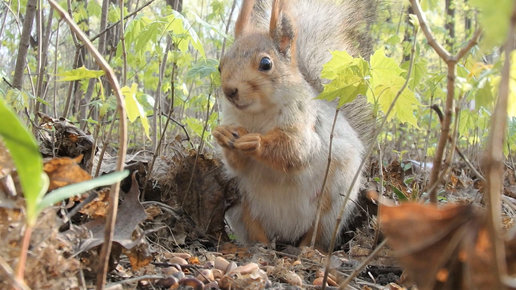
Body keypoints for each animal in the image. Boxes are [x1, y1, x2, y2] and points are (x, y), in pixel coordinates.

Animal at [212, 0, 376, 250]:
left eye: (266, 63)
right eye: (221, 66)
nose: (230, 91)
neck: (258, 113)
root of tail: (286, 232)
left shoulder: (306, 125)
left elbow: (296, 149)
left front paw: (256, 142)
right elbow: (237, 164)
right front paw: (224, 135)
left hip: (333, 203)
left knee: (317, 231)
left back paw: (306, 248)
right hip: (239, 202)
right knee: (254, 225)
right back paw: (260, 245)